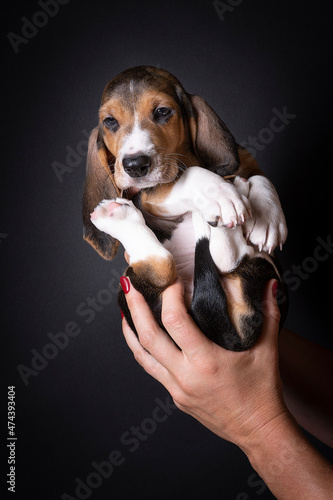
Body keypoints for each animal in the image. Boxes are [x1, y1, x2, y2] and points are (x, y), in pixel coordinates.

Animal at [81, 64, 286, 350]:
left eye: (162, 112)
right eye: (109, 121)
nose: (134, 165)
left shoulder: (244, 160)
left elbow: (260, 178)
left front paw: (268, 219)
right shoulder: (149, 194)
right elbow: (185, 177)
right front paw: (218, 193)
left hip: (263, 270)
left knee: (225, 259)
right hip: (130, 287)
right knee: (166, 268)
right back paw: (120, 217)